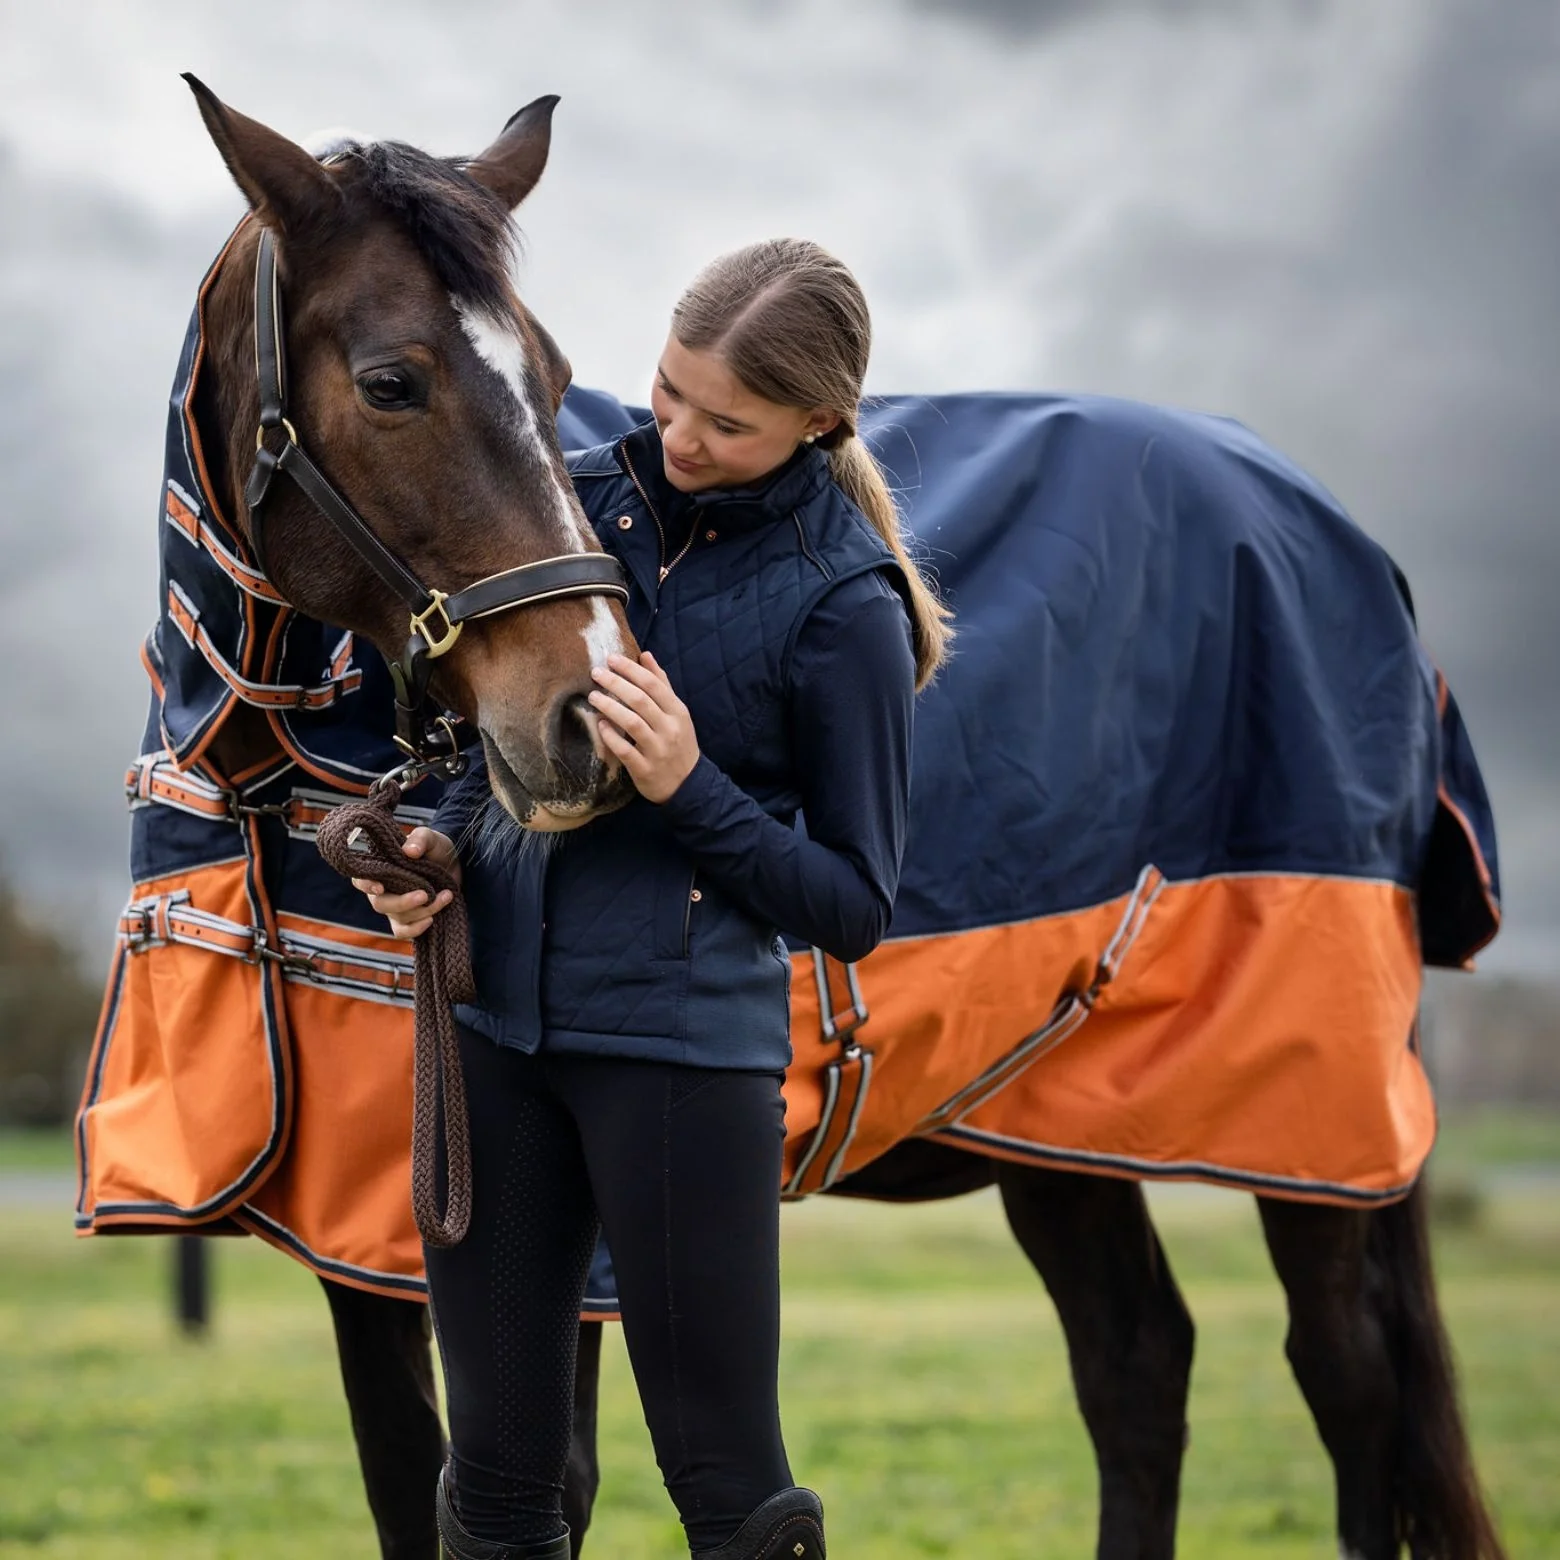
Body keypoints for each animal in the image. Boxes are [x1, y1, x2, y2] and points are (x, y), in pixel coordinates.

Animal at [74, 83, 1507, 1560]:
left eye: (553, 377)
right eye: (390, 381)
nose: (581, 719)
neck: (263, 764)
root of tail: (1340, 541)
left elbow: (540, 1489)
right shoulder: (375, 1243)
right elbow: (416, 1486)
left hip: (1308, 1134)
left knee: (1348, 1386)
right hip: (1060, 1120)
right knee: (1137, 1363)